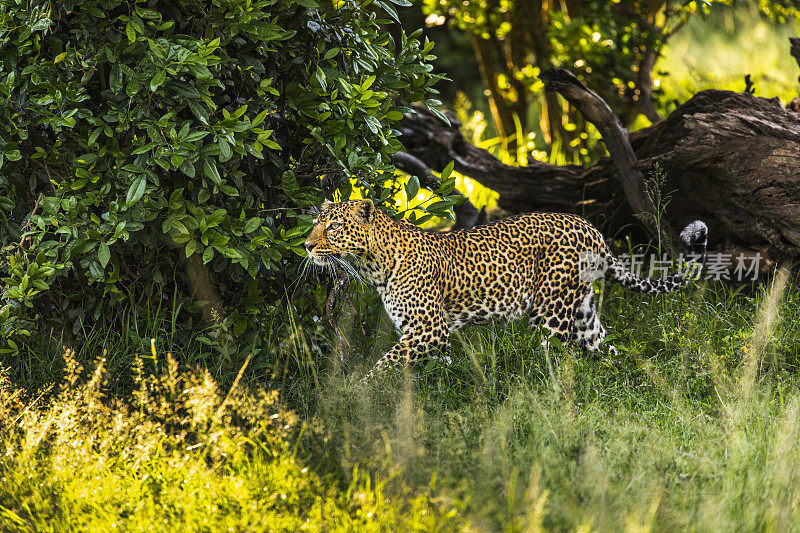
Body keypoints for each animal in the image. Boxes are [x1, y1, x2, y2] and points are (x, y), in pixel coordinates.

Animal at [304, 200, 708, 386]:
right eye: (316, 223)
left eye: (334, 227)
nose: (306, 245)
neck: (373, 262)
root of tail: (591, 228)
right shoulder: (435, 336)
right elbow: (437, 370)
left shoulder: (427, 330)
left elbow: (384, 364)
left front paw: (355, 394)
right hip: (584, 314)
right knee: (607, 350)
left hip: (551, 314)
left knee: (558, 359)